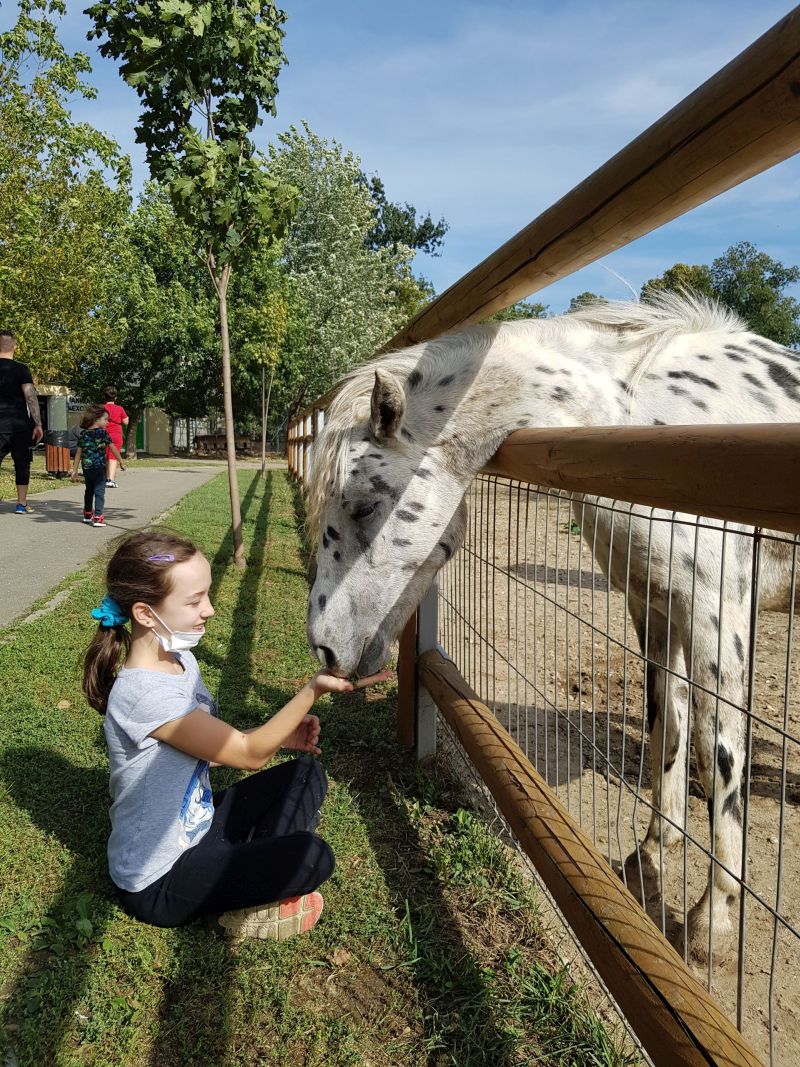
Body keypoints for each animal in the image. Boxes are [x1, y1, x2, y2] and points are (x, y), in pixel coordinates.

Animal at [307, 294, 800, 960]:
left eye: (363, 505)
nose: (324, 647)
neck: (644, 414)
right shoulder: (654, 603)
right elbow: (666, 723)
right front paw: (653, 851)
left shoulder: (717, 612)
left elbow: (721, 755)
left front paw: (711, 919)